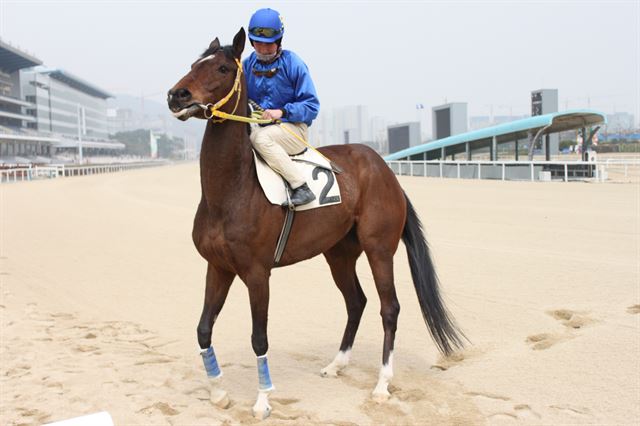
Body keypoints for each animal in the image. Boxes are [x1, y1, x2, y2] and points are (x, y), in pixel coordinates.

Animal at [166, 29, 464, 420]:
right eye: (192, 64)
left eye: (221, 68)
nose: (176, 95)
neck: (231, 191)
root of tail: (384, 169)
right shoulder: (218, 267)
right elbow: (203, 329)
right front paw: (218, 393)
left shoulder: (257, 274)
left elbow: (258, 337)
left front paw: (262, 400)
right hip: (339, 253)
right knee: (356, 301)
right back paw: (337, 364)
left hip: (379, 249)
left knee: (389, 308)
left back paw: (382, 384)